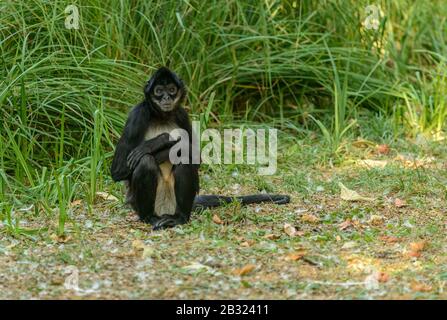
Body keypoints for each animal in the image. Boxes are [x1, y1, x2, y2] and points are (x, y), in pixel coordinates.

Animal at [112, 66, 290, 229]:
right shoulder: (138, 114)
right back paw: (150, 217)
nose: (166, 97)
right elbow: (118, 171)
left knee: (184, 158)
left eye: (171, 90)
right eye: (158, 91)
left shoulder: (181, 114)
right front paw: (163, 141)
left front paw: (162, 145)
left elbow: (196, 158)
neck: (162, 116)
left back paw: (179, 218)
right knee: (146, 162)